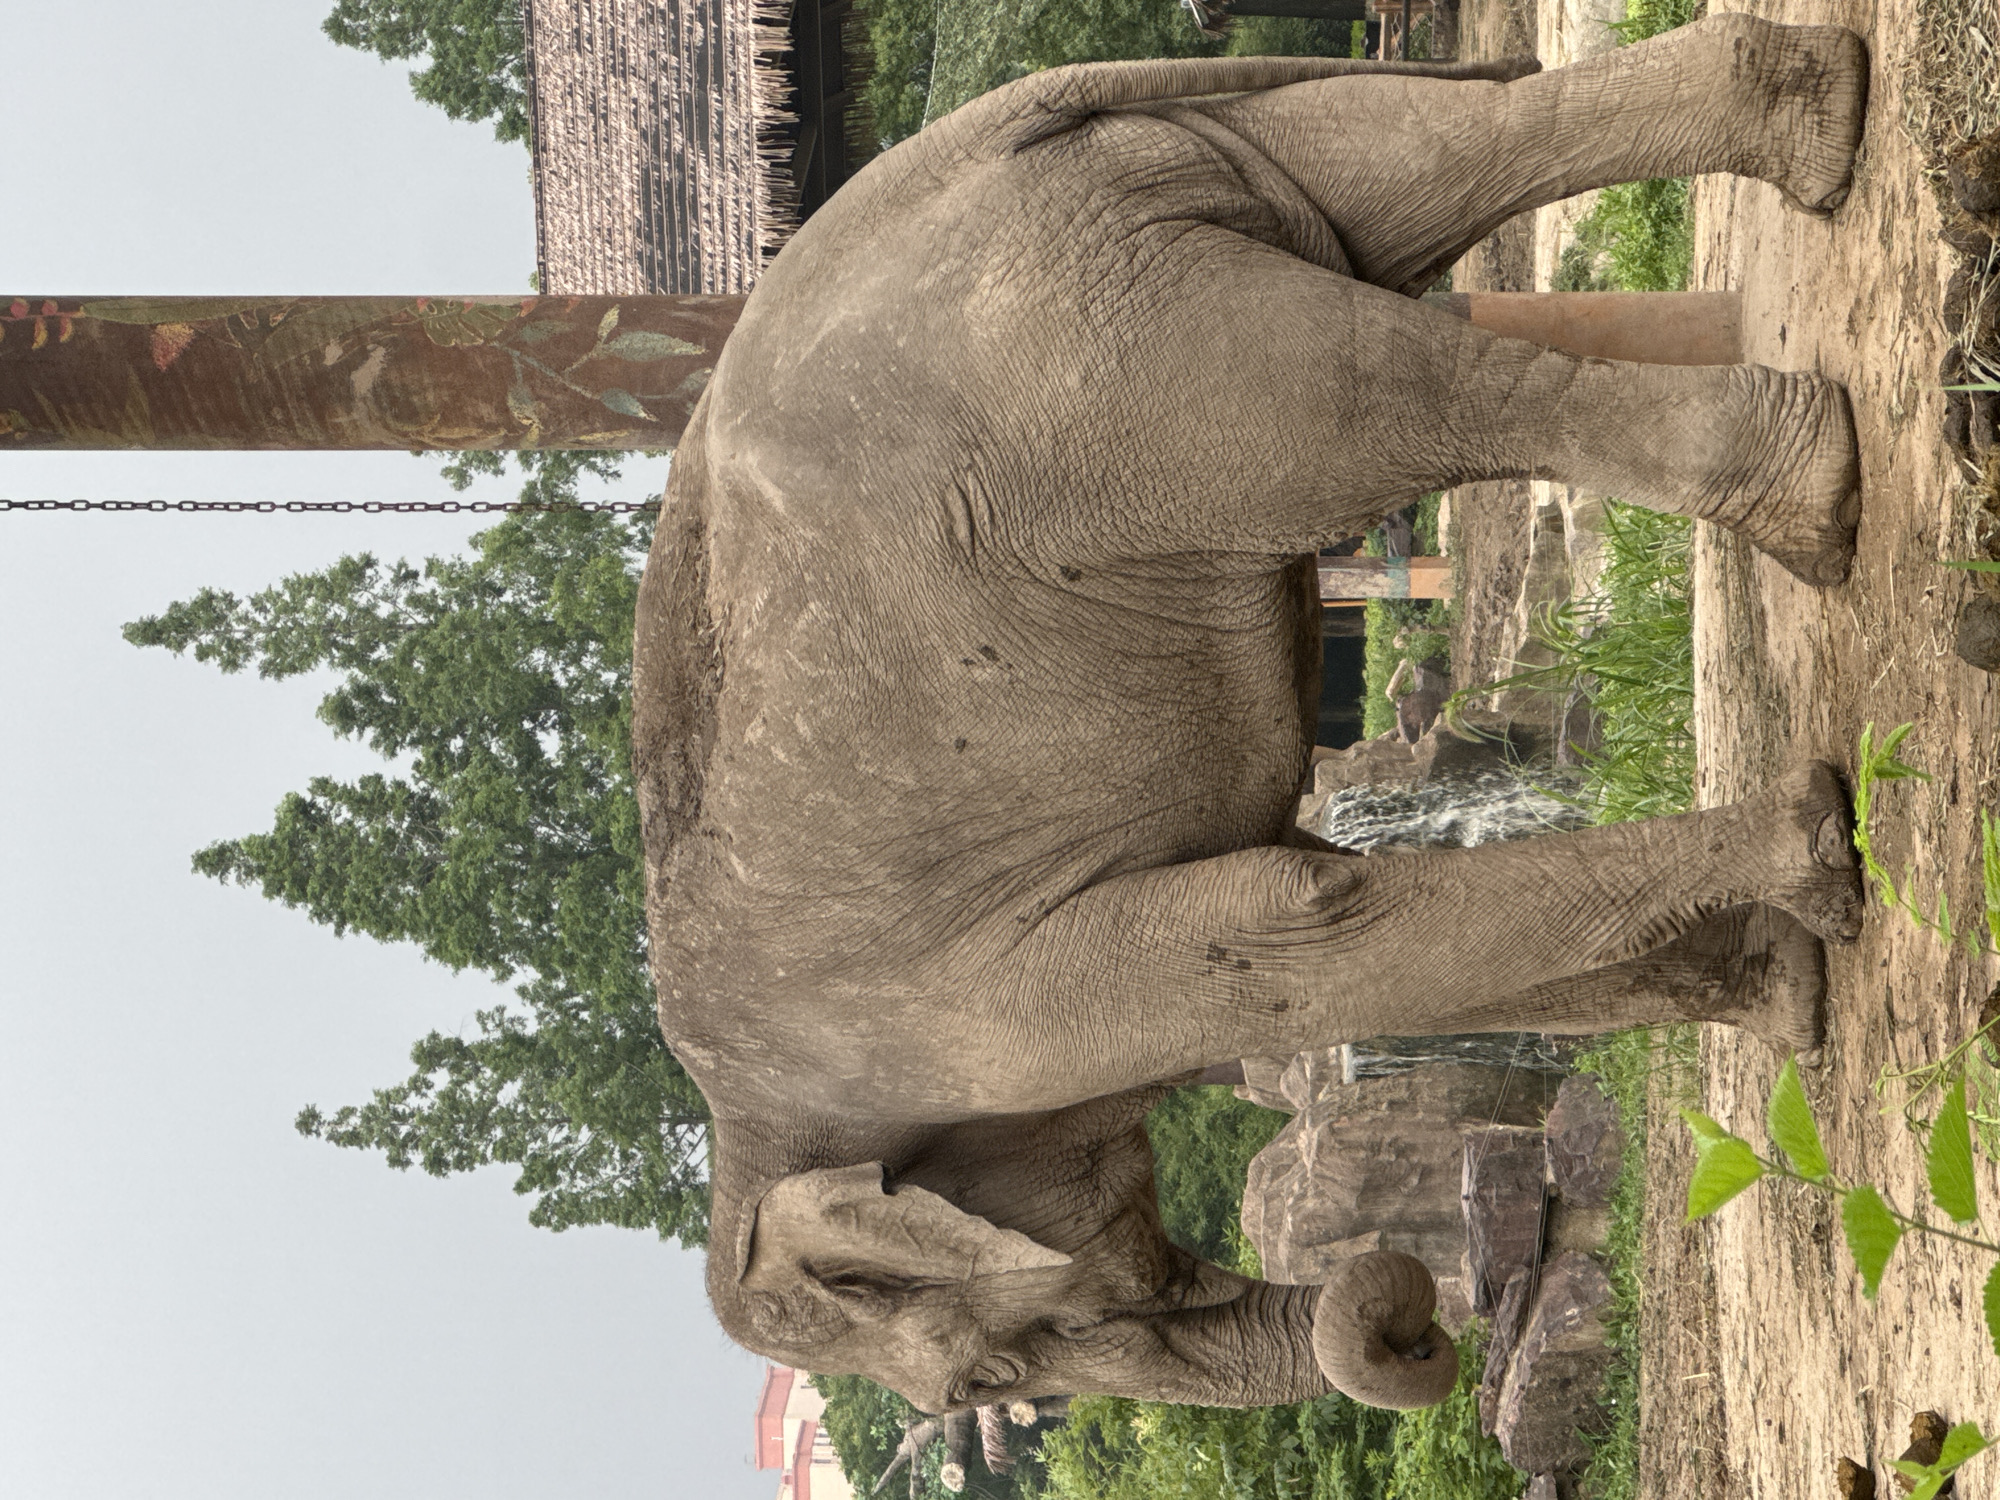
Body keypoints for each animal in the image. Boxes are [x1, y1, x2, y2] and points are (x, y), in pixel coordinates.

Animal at [632, 15, 1871, 1413]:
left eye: (985, 1388)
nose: (1415, 1314)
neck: (752, 1142)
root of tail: (979, 145)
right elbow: (1353, 950)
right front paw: (1784, 992)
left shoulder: (976, 1013)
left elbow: (1304, 935)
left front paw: (1810, 875)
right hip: (1134, 244)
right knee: (1419, 177)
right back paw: (1819, 129)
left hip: (1113, 376)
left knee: (1375, 405)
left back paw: (1813, 518)